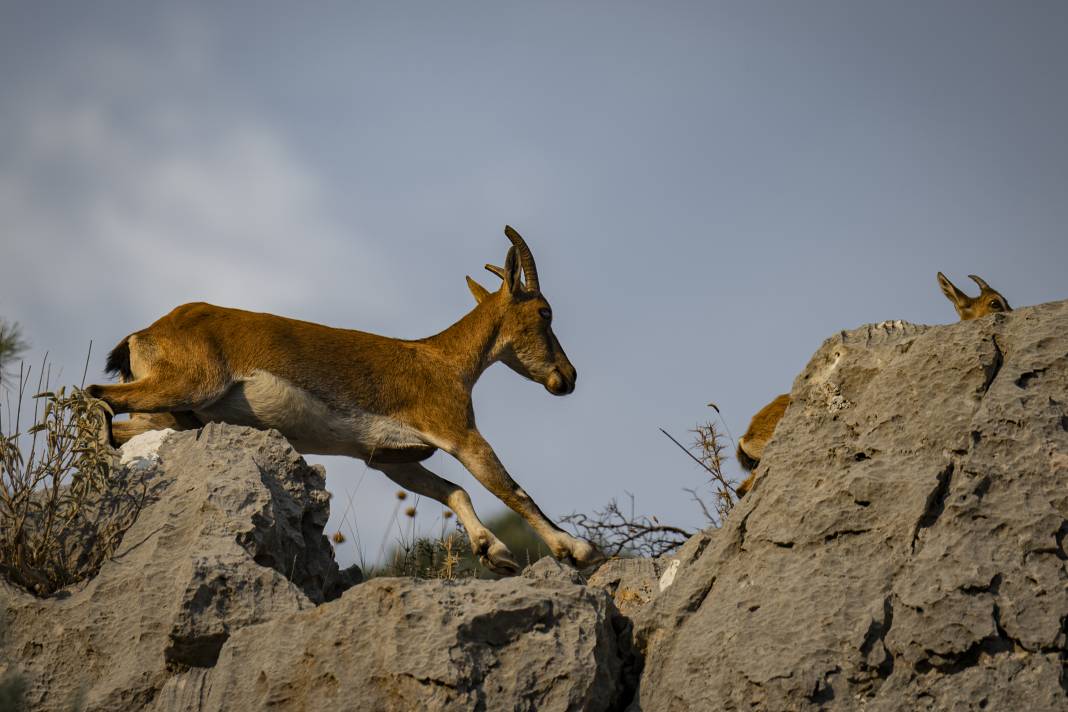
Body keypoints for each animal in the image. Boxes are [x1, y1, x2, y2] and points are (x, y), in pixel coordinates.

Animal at [87, 225, 606, 576]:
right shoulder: (457, 430)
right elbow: (511, 489)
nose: (567, 377)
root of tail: (145, 333)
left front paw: (493, 552)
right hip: (189, 383)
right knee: (96, 396)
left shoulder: (391, 459)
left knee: (118, 418)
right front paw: (577, 549)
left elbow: (453, 490)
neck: (445, 361)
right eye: (545, 312)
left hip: (174, 414)